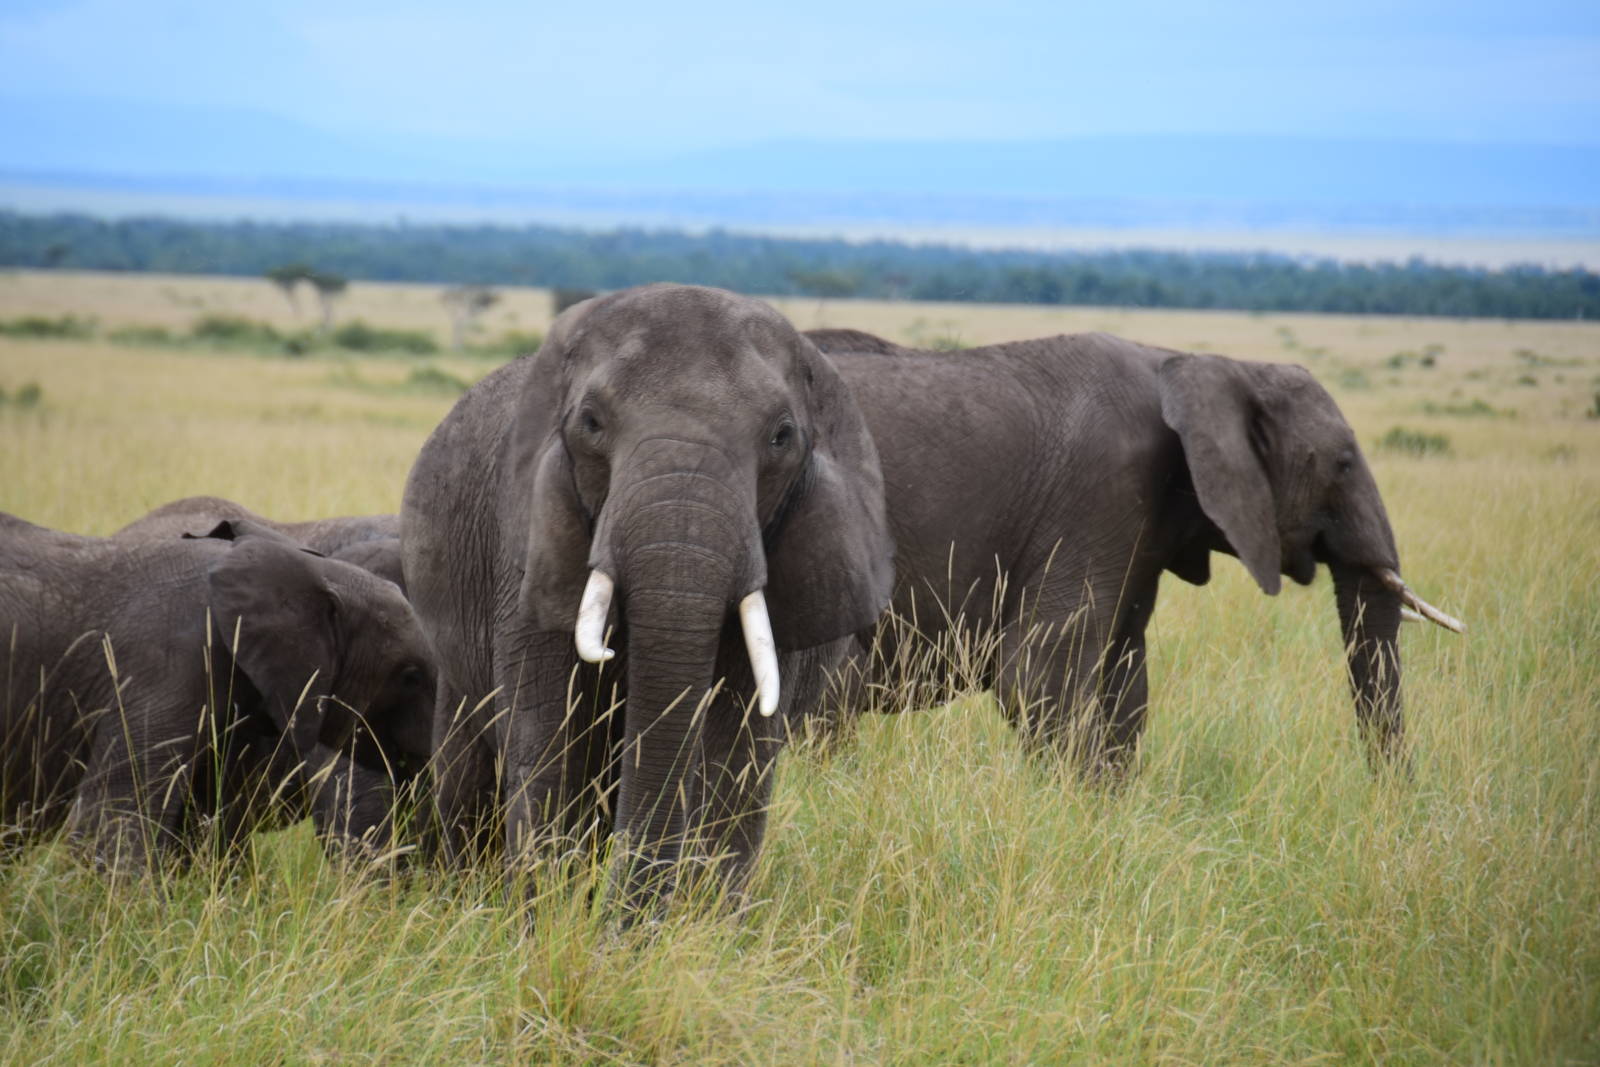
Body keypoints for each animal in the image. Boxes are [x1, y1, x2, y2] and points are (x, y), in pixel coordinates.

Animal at [402, 283, 892, 906]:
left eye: (781, 437)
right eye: (591, 423)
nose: (627, 920)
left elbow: (733, 753)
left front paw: (702, 922)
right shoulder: (527, 553)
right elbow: (551, 740)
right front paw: (550, 916)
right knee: (467, 763)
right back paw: (463, 893)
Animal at [801, 328, 1462, 774]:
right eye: (1344, 463)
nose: (1391, 801)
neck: (1198, 363)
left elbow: (1125, 679)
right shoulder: (1100, 490)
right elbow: (1042, 675)